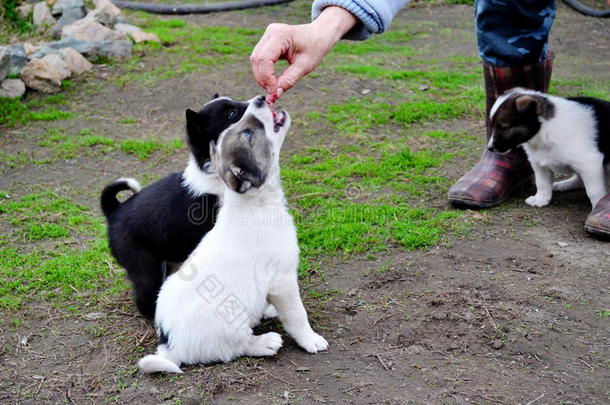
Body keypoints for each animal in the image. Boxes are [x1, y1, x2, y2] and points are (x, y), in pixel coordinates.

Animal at [138, 94, 328, 372]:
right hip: (229, 319)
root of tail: (169, 346)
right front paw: (310, 340)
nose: (261, 98)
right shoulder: (283, 279)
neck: (255, 204)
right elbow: (297, 314)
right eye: (247, 132)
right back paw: (265, 343)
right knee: (234, 347)